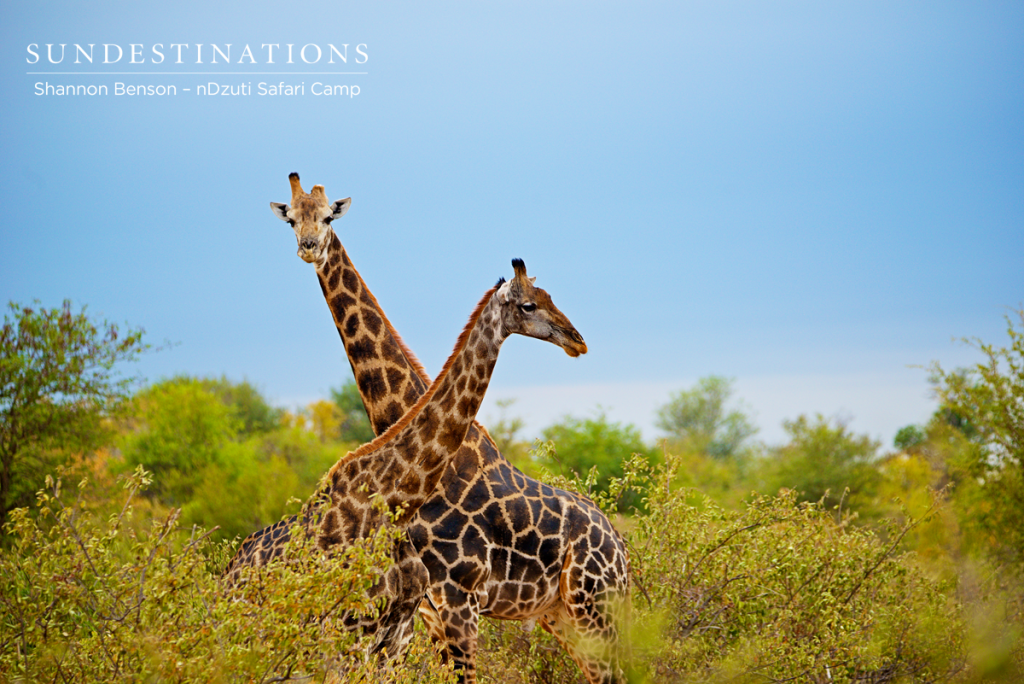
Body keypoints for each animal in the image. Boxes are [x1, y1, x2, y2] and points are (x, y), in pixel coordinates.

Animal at [238, 174, 630, 683]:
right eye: (292, 219)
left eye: (327, 217)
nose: (576, 339)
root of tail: (622, 550)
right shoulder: (424, 610)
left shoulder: (452, 598)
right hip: (562, 614)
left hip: (591, 606)